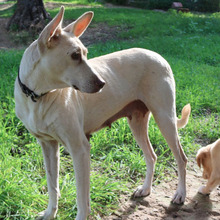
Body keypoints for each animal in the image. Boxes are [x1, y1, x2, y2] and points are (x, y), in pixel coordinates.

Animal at [14, 6, 191, 220]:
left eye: (85, 54)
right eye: (75, 55)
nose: (102, 83)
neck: (38, 97)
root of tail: (158, 55)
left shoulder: (80, 149)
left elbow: (82, 197)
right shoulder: (47, 145)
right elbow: (52, 185)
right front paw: (50, 213)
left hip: (164, 118)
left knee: (181, 159)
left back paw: (180, 194)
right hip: (137, 123)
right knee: (151, 156)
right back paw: (145, 189)